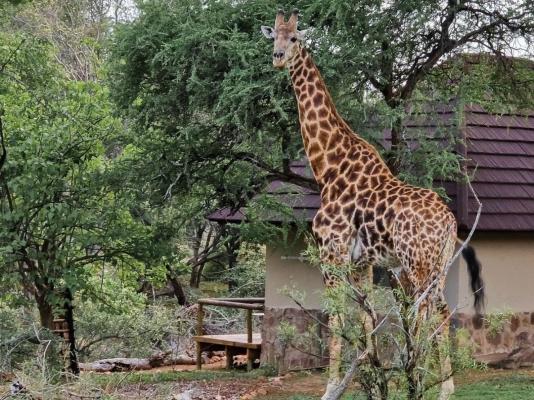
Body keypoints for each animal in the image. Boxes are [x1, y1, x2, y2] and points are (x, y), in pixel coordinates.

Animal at [262, 9, 486, 400]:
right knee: (440, 310)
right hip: (437, 265)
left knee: (422, 311)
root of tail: (448, 222)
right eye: (273, 35)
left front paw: (332, 387)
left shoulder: (332, 251)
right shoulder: (363, 261)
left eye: (295, 39)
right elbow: (366, 317)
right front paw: (373, 375)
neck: (328, 167)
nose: (277, 58)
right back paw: (442, 387)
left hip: (416, 263)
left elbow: (337, 315)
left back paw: (417, 378)